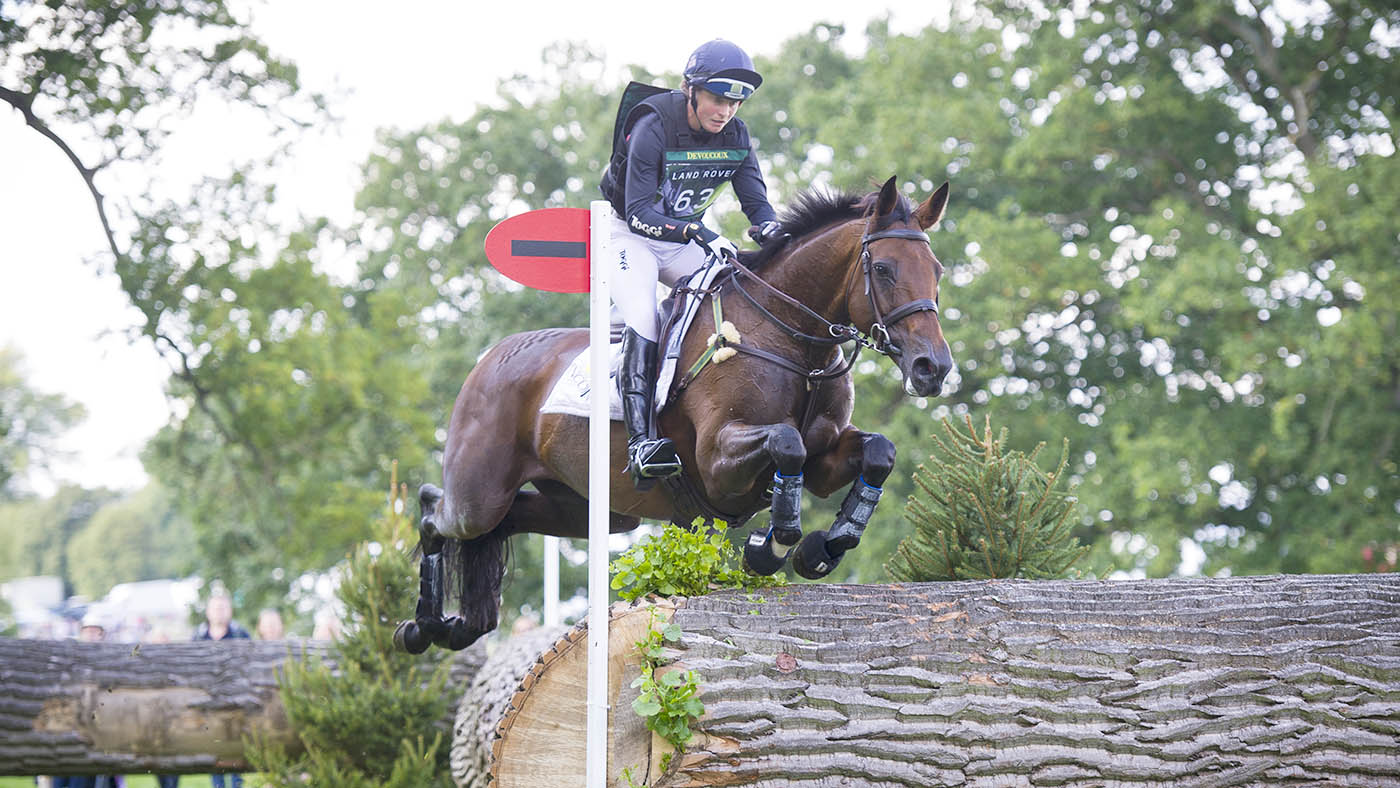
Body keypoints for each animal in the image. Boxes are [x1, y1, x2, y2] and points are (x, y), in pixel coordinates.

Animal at [396, 176, 953, 652]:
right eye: (883, 270)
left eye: (938, 271)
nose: (933, 368)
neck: (791, 338)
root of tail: (492, 357)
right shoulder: (718, 461)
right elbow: (785, 444)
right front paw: (770, 547)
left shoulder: (823, 458)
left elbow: (877, 452)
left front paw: (826, 545)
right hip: (480, 494)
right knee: (435, 512)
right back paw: (419, 628)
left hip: (589, 510)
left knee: (505, 522)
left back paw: (462, 625)